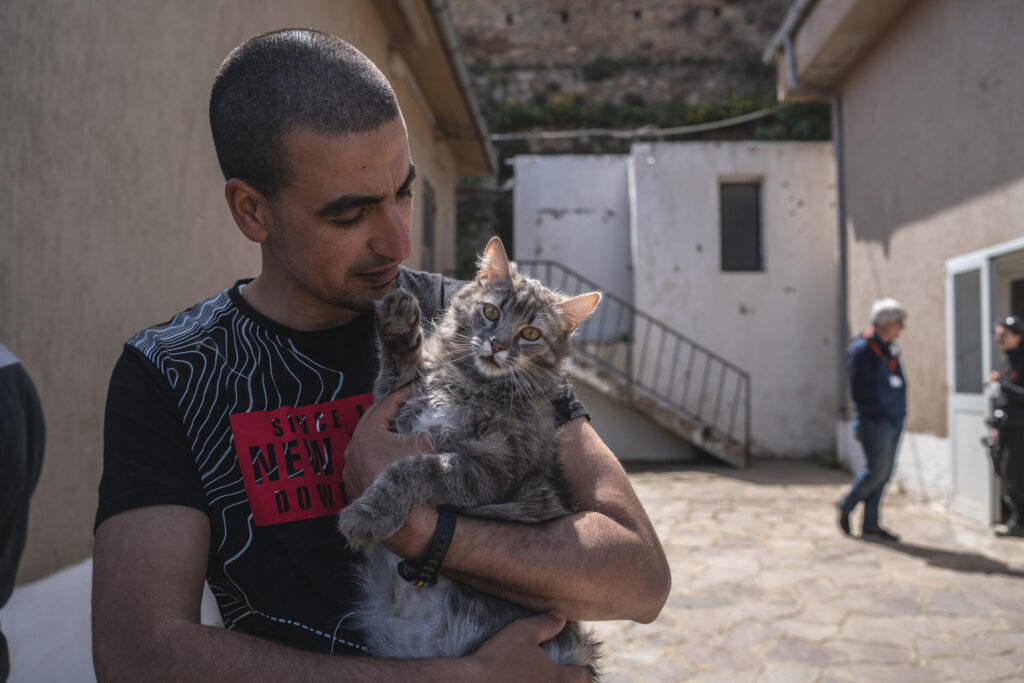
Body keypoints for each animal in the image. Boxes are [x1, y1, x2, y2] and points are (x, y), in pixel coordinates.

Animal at [336, 235, 602, 674]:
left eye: (531, 333)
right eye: (491, 312)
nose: (497, 344)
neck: (466, 383)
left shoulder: (492, 467)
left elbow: (413, 468)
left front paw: (369, 514)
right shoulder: (396, 409)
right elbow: (398, 374)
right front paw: (398, 327)